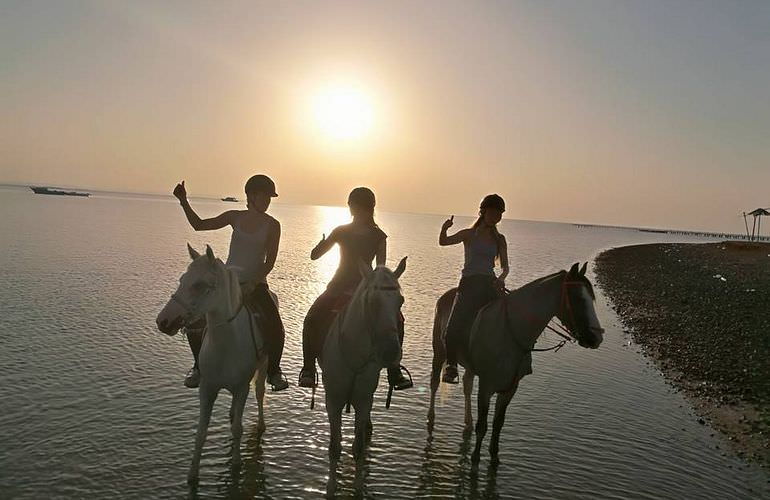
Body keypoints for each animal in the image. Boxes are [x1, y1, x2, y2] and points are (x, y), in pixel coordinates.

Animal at [154, 245, 268, 484]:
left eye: (199, 285)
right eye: (182, 279)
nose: (163, 321)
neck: (226, 345)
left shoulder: (241, 389)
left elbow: (237, 429)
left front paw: (236, 465)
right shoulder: (207, 389)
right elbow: (201, 433)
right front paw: (192, 474)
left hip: (263, 367)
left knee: (260, 393)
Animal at [318, 258, 404, 496]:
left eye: (401, 302)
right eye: (373, 302)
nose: (391, 352)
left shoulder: (364, 401)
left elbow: (358, 447)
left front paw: (357, 487)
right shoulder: (333, 401)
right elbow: (334, 446)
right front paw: (331, 486)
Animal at [426, 264, 600, 466]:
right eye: (578, 299)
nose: (597, 337)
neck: (511, 332)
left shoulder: (511, 388)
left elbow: (498, 424)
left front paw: (494, 456)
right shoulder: (486, 386)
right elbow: (483, 425)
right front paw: (476, 458)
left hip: (470, 365)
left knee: (467, 384)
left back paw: (467, 420)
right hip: (439, 351)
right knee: (434, 383)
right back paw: (431, 417)